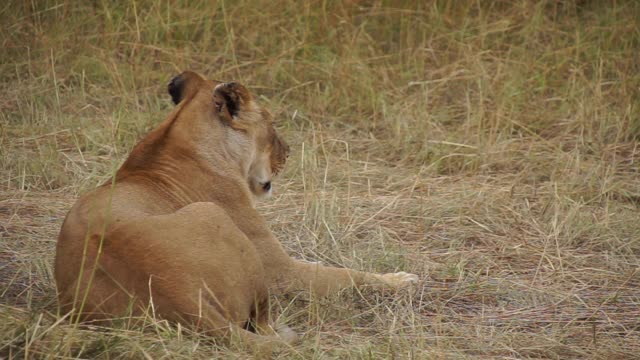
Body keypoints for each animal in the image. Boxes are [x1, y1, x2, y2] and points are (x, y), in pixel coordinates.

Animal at [53, 70, 416, 348]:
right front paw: (401, 280)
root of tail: (184, 298)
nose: (288, 152)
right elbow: (345, 274)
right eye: (272, 125)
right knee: (264, 323)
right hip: (212, 215)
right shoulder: (282, 270)